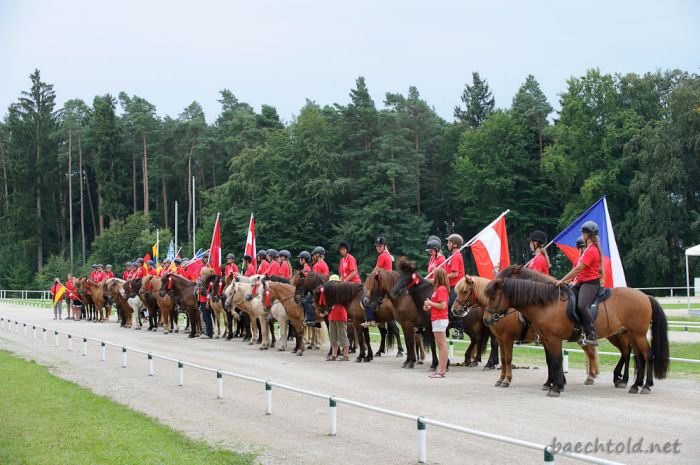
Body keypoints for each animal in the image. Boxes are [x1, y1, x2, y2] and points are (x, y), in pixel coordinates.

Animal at [484, 265, 669, 397]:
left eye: (493, 296)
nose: (487, 319)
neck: (547, 303)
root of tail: (645, 296)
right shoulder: (545, 339)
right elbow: (551, 361)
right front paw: (554, 383)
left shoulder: (552, 339)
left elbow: (556, 361)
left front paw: (556, 387)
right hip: (631, 334)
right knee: (638, 357)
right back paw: (634, 384)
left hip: (636, 334)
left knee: (646, 356)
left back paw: (644, 385)